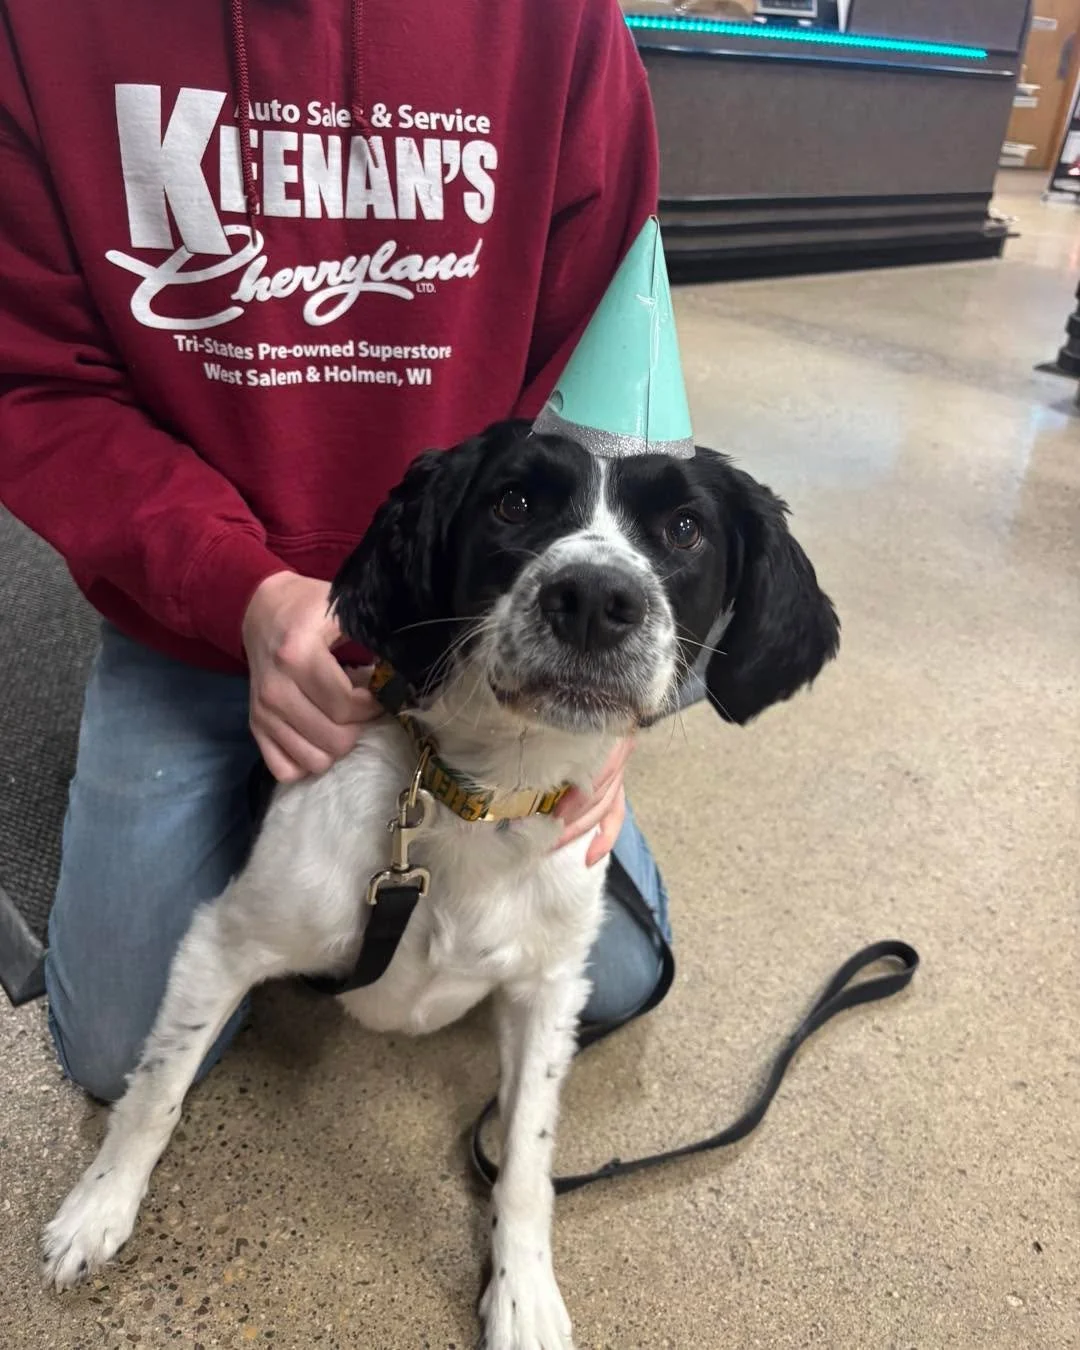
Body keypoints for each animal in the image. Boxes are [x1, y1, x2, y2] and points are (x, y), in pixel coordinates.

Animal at [42, 420, 839, 1349]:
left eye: (685, 530)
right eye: (514, 502)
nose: (593, 598)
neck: (482, 805)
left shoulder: (548, 992)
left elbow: (526, 1159)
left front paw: (525, 1295)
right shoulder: (222, 941)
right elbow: (156, 1091)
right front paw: (99, 1209)